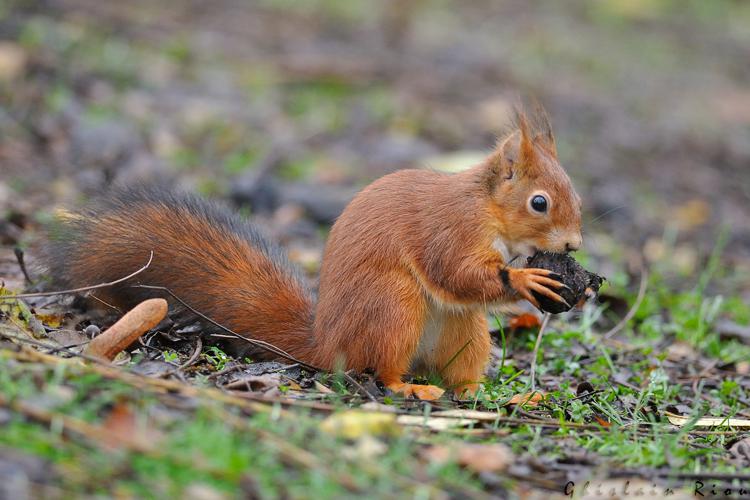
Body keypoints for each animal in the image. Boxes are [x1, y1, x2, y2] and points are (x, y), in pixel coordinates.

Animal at [44, 107, 584, 400]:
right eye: (539, 202)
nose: (574, 245)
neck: (487, 208)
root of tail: (327, 343)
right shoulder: (448, 230)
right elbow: (455, 272)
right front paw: (525, 280)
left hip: (464, 332)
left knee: (458, 373)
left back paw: (489, 391)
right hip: (393, 308)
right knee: (383, 370)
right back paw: (407, 386)